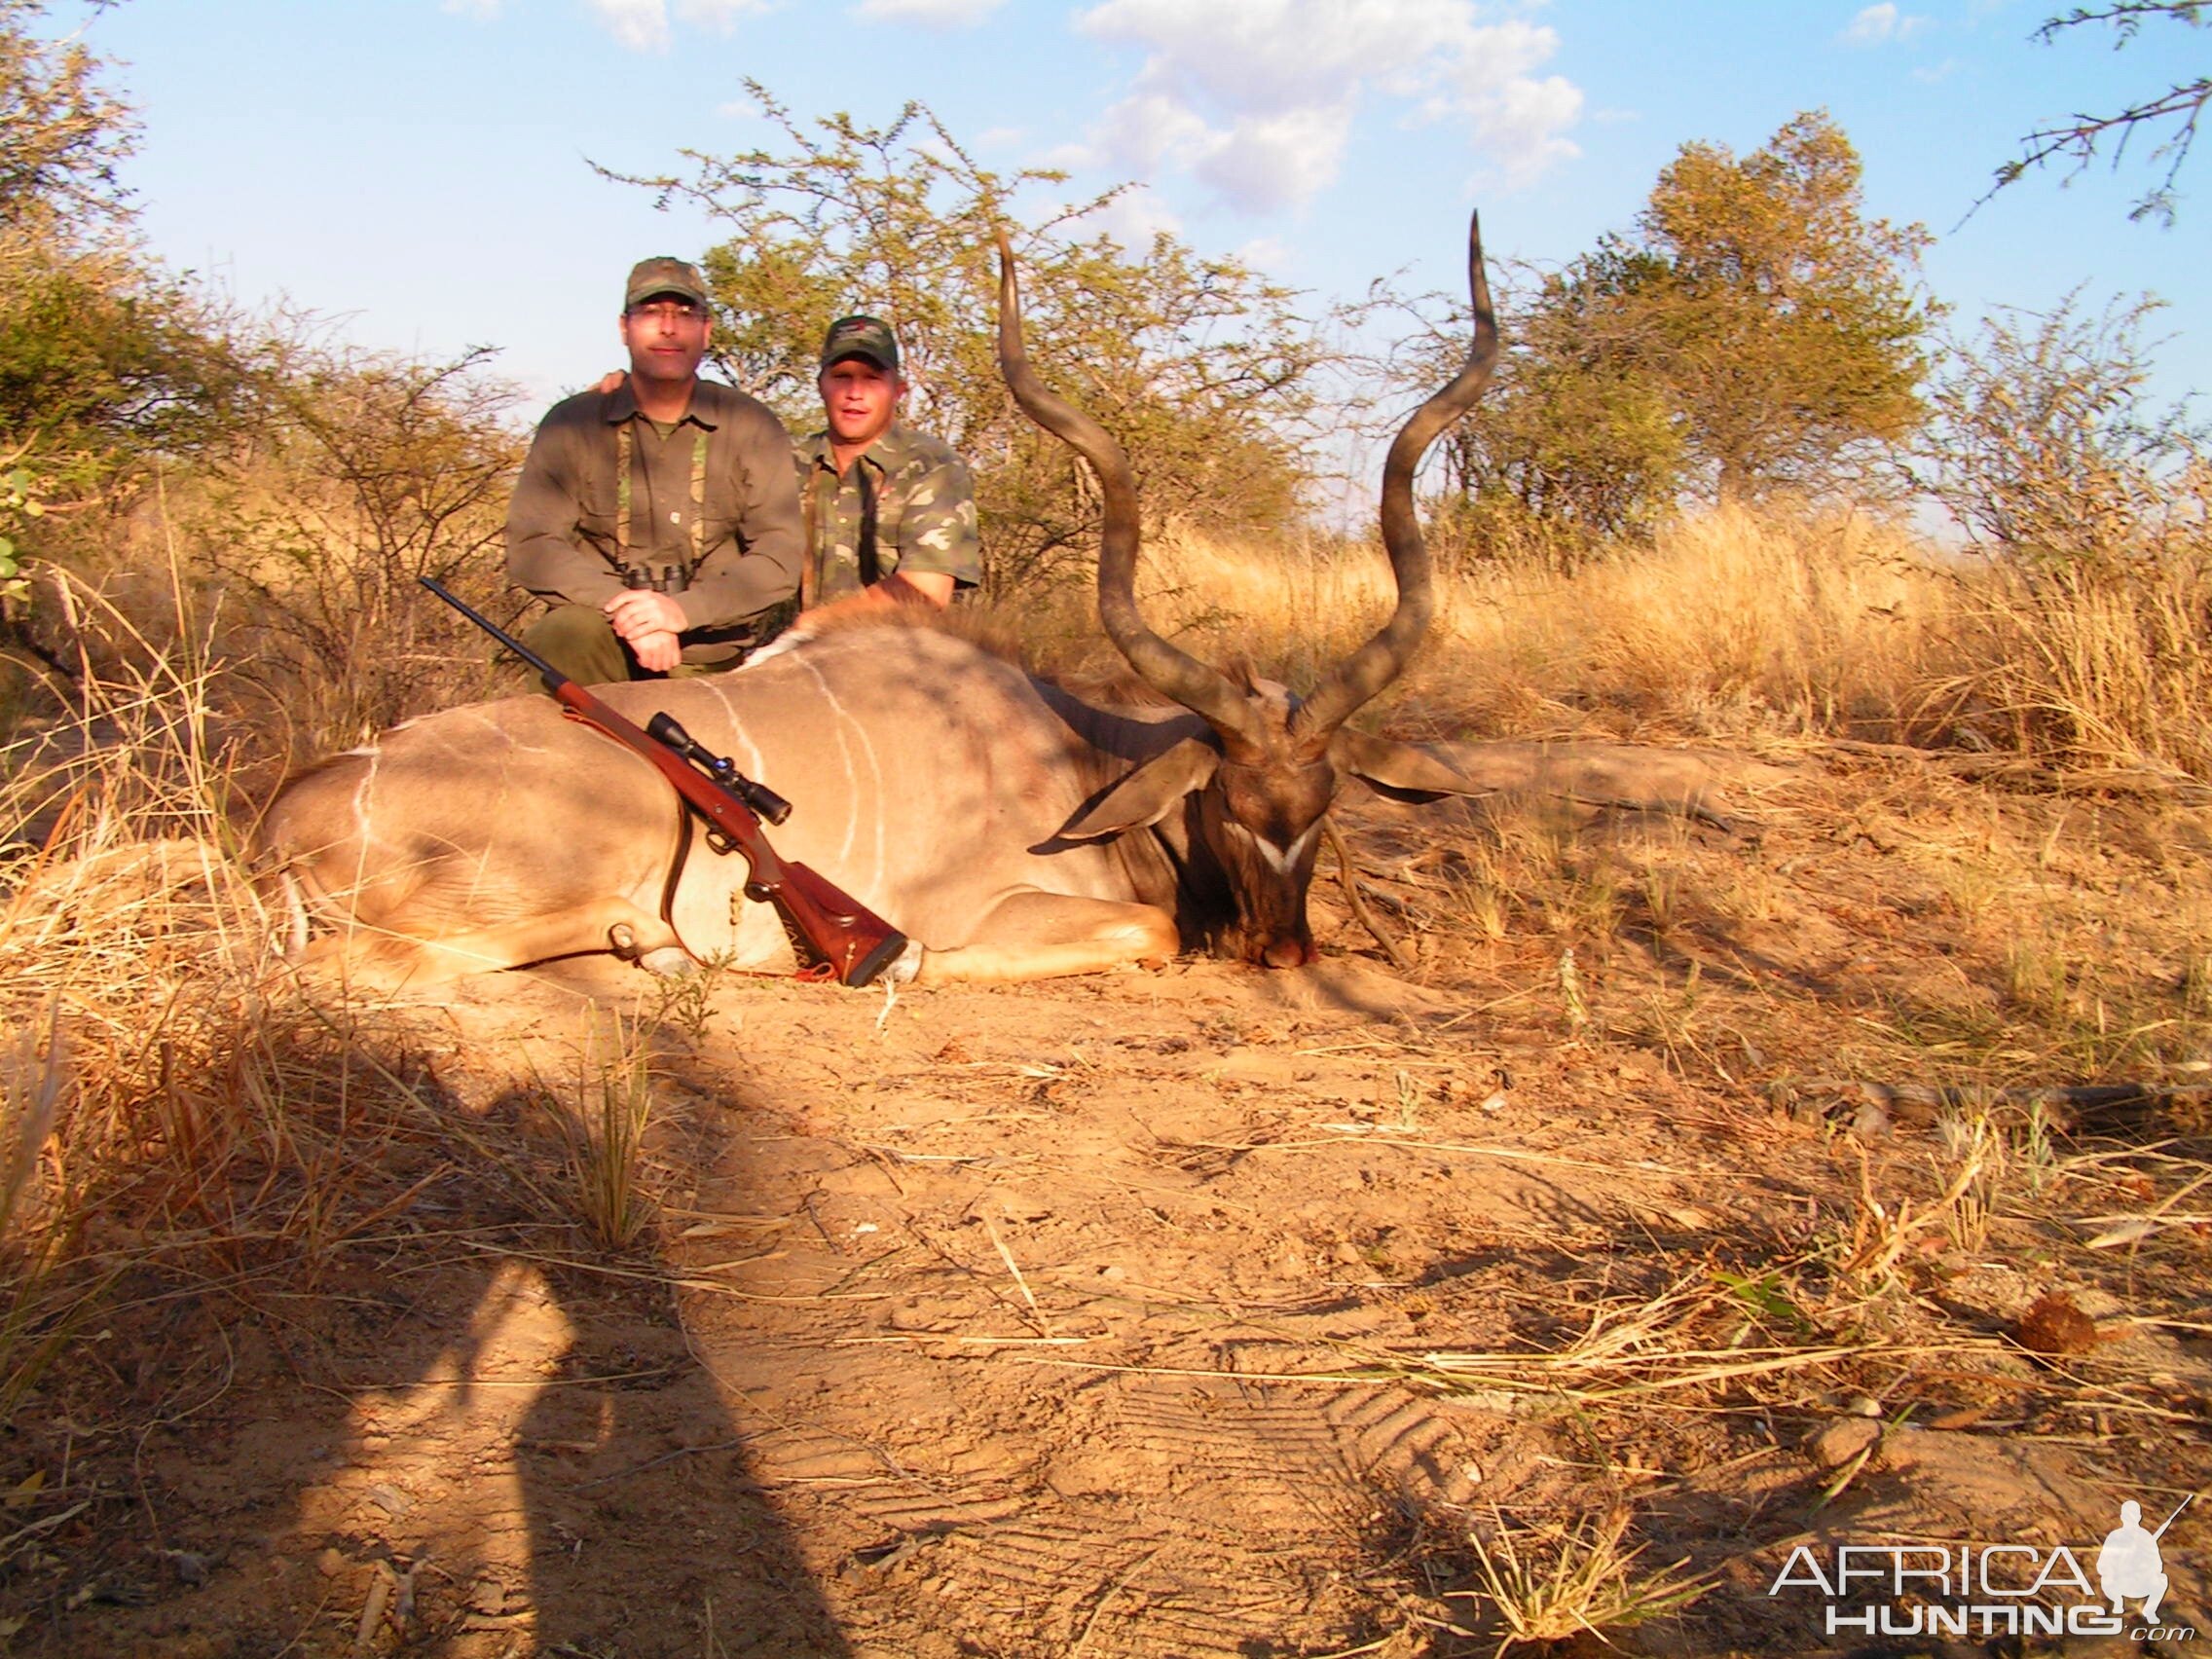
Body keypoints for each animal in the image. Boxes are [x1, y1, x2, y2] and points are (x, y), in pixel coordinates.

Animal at [258, 207, 1503, 986]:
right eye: (1233, 808)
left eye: (1324, 807)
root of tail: (282, 812)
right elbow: (1145, 929)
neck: (1074, 758)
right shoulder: (1018, 906)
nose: (1287, 953)